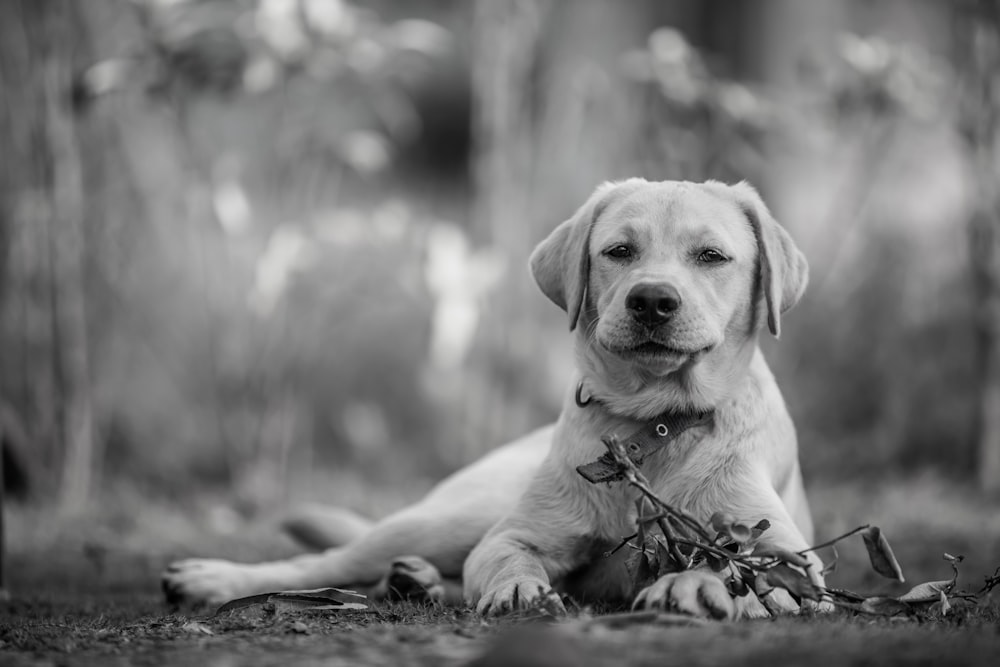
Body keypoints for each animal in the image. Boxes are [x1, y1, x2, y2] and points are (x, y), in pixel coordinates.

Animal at [162, 179, 820, 620]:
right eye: (619, 252)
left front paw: (691, 586)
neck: (652, 425)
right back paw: (213, 579)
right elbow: (507, 560)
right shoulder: (513, 536)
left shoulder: (791, 559)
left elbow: (735, 564)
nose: (653, 300)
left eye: (712, 257)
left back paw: (415, 583)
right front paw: (518, 590)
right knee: (327, 562)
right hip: (450, 520)